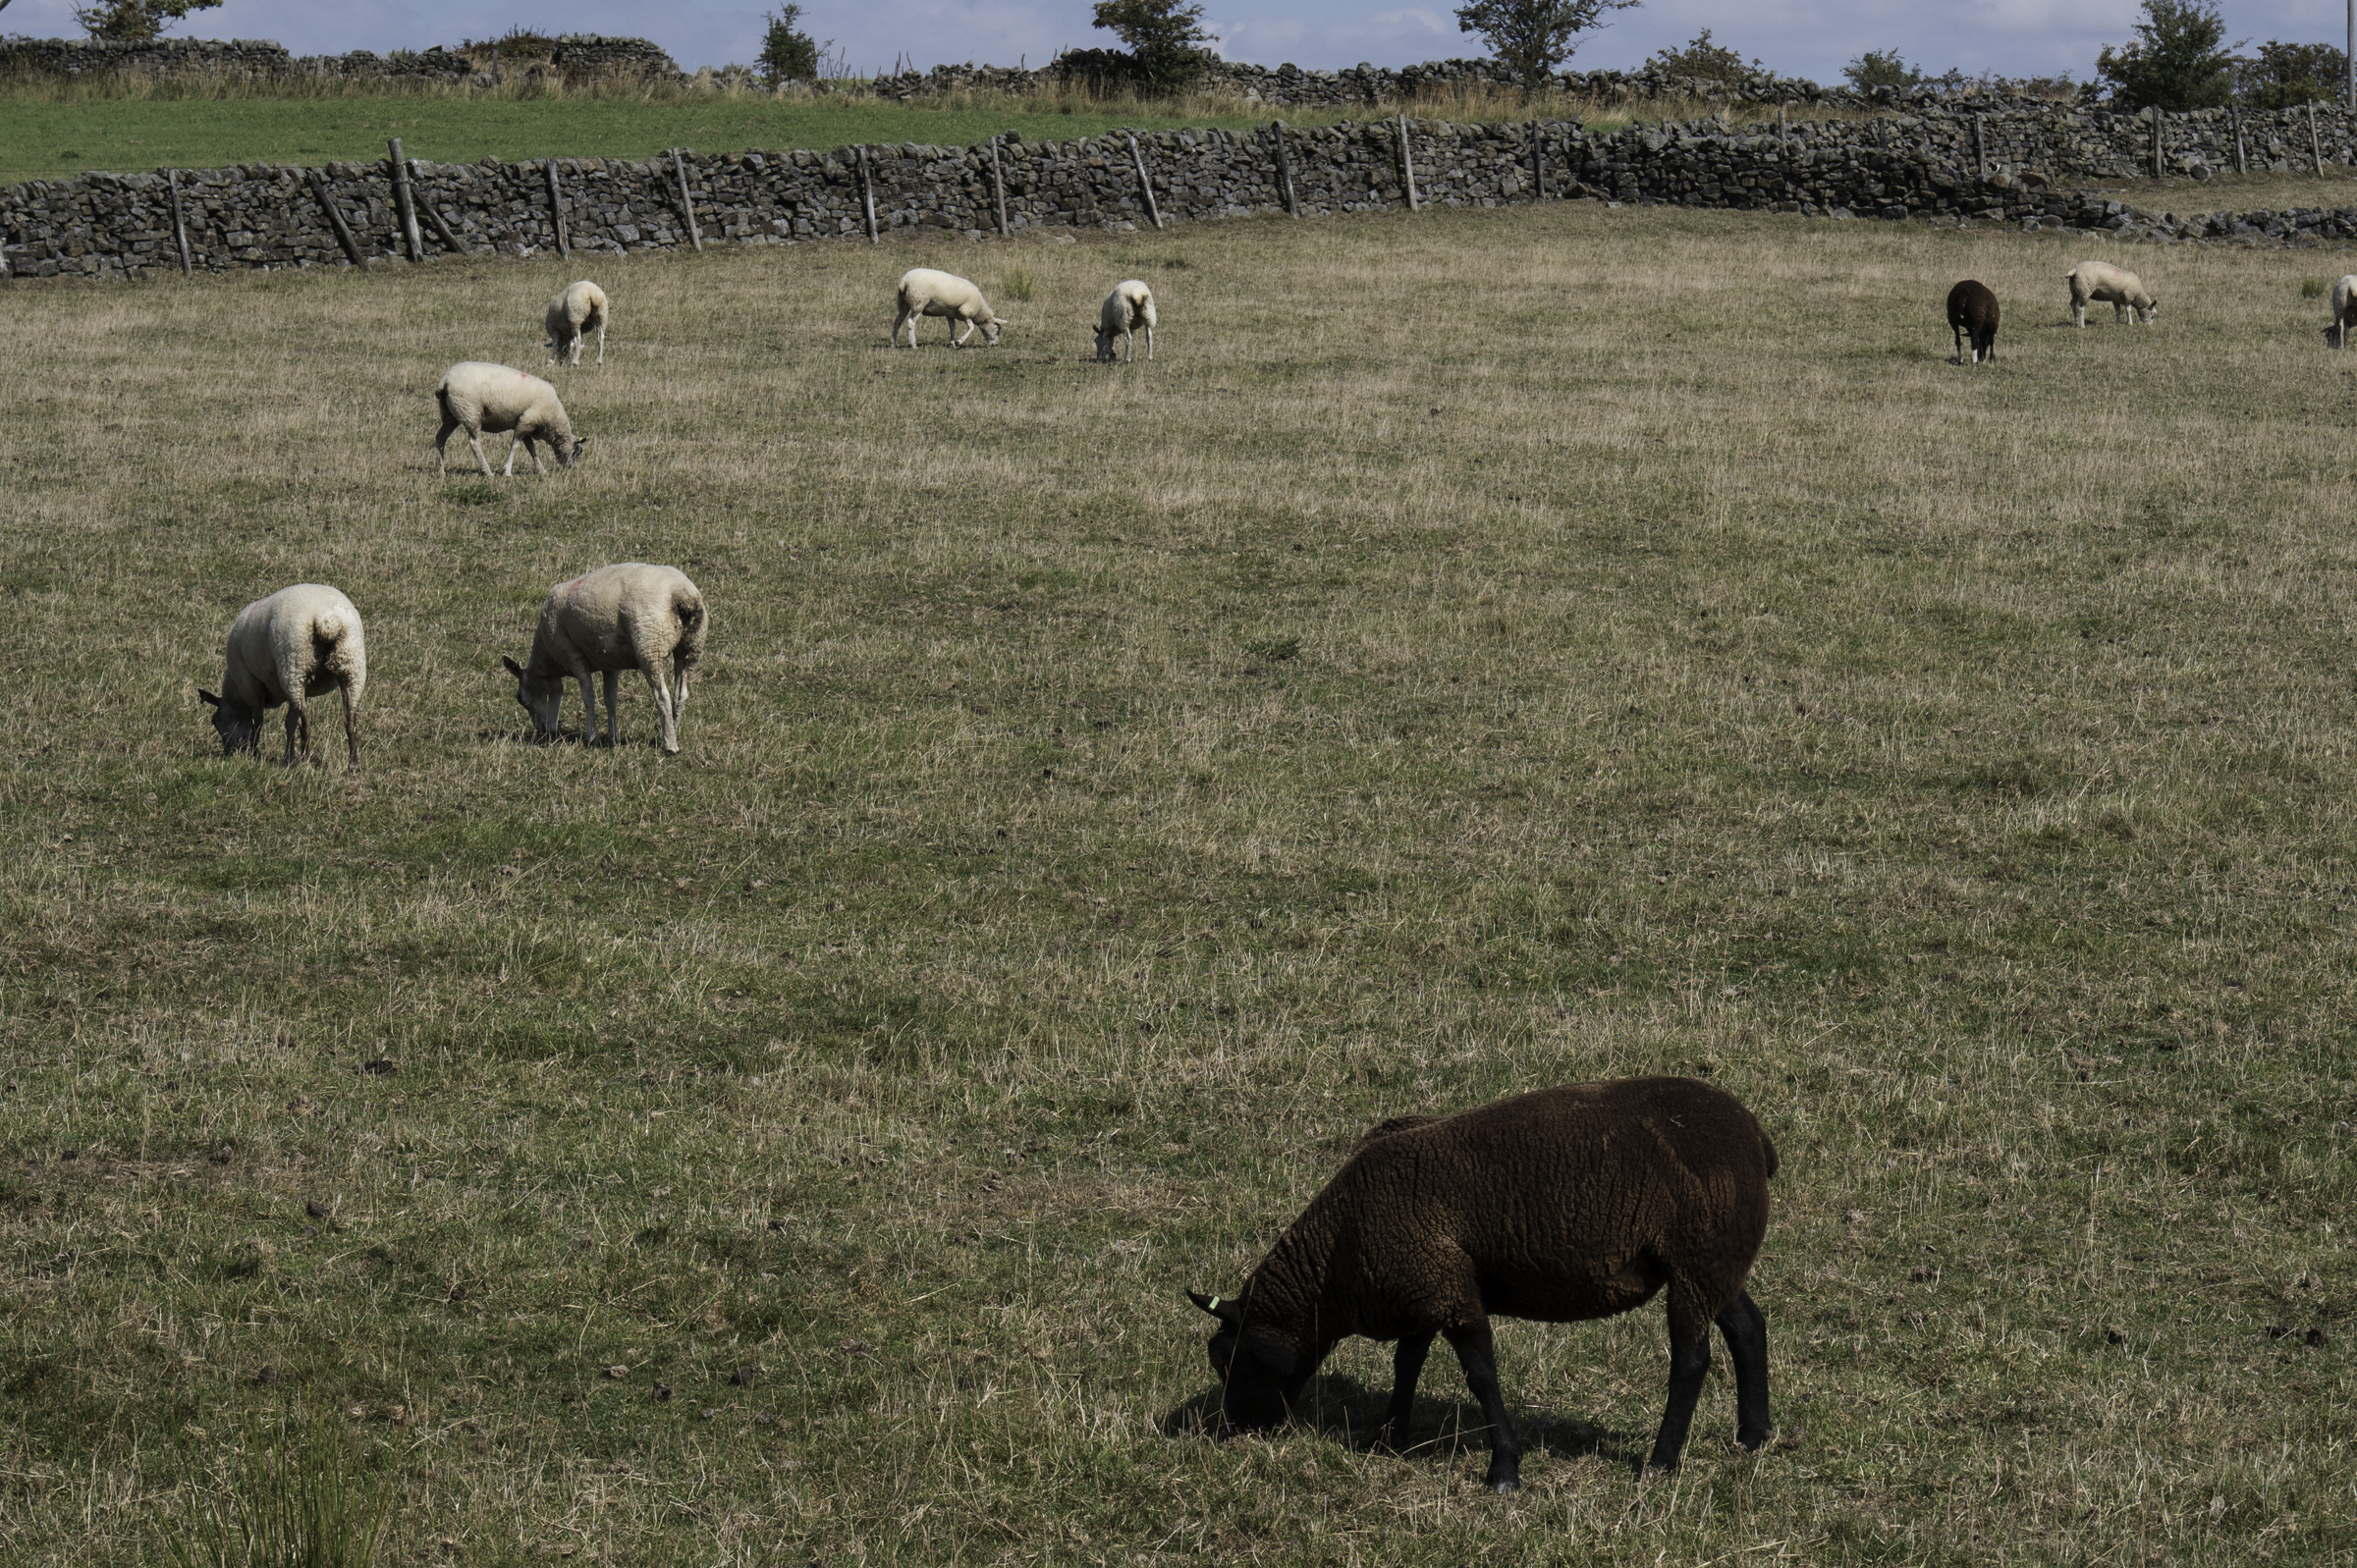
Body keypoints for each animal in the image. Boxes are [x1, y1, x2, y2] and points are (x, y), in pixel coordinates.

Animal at [197, 583, 366, 769]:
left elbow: (258, 720)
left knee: (296, 721)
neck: (237, 692)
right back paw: (352, 764)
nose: (229, 751)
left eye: (215, 721)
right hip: (350, 666)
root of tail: (328, 621)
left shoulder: (250, 684)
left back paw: (296, 759)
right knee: (349, 718)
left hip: (294, 666)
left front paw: (255, 754)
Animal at [434, 361, 588, 477]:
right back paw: (488, 472)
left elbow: (531, 447)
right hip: (470, 411)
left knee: (441, 438)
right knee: (474, 442)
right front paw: (507, 471)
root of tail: (445, 380)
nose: (570, 469)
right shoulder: (527, 420)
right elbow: (515, 445)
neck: (553, 421)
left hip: (450, 415)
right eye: (578, 451)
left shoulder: (526, 423)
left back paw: (441, 470)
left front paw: (541, 469)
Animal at [501, 563, 705, 754]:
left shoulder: (574, 655)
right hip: (691, 645)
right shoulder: (611, 662)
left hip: (650, 644)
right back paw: (672, 731)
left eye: (520, 699)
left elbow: (588, 697)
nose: (542, 732)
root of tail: (682, 594)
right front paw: (613, 737)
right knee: (681, 693)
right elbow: (610, 698)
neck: (550, 661)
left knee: (662, 695)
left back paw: (669, 745)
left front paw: (592, 737)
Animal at [1189, 1076, 1777, 1488]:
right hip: (1714, 1259)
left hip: (1698, 1258)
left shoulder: (1447, 1293)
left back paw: (1659, 1463)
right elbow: (1407, 1364)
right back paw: (1752, 1436)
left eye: (1226, 1358)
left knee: (1692, 1359)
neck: (1335, 1260)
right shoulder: (1425, 1285)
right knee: (1747, 1326)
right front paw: (1388, 1437)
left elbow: (1481, 1377)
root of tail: (1757, 1137)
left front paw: (1504, 1473)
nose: (1231, 1431)